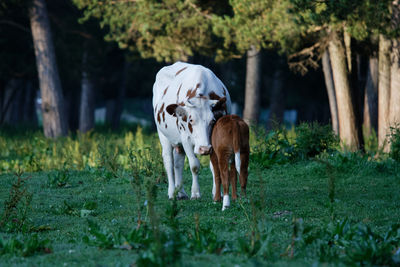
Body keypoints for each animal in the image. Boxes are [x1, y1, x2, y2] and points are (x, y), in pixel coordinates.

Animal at [152, 61, 231, 200]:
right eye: (191, 120)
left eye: (212, 121)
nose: (204, 149)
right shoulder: (185, 138)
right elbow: (194, 165)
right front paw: (195, 193)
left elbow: (214, 165)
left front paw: (217, 193)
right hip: (163, 135)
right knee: (169, 162)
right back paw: (172, 192)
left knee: (178, 163)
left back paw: (181, 192)